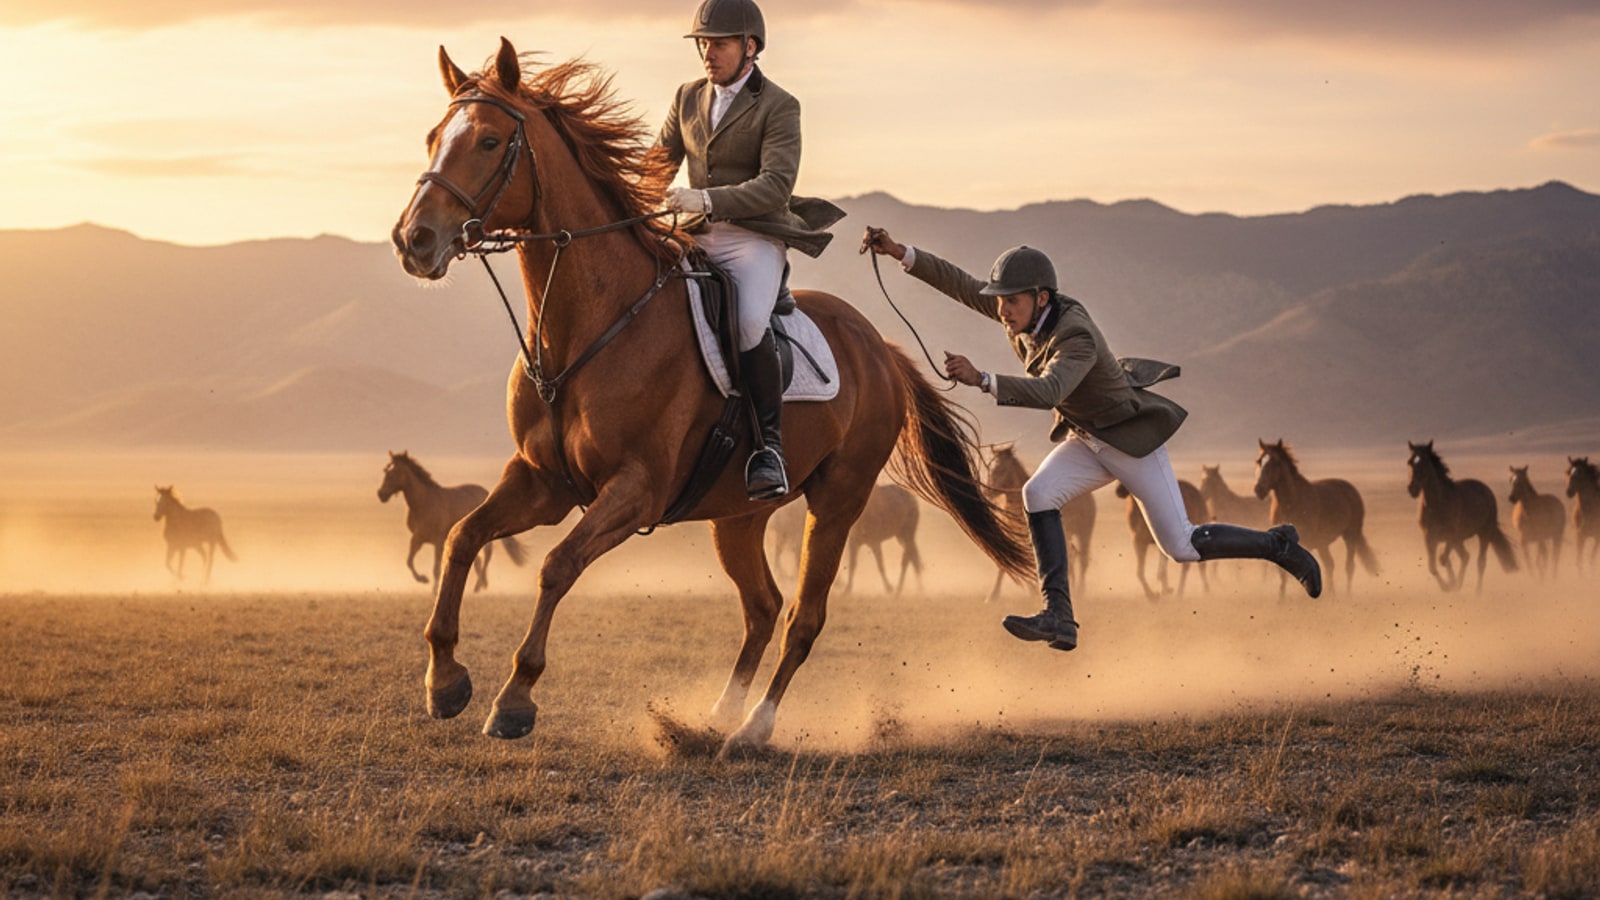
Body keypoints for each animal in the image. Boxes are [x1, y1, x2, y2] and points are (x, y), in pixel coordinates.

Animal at [378, 451, 527, 591]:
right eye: (385, 471)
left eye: (392, 473)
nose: (381, 494)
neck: (423, 504)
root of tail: (486, 493)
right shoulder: (417, 538)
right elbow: (409, 561)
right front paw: (423, 579)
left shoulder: (438, 541)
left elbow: (436, 569)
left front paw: (434, 590)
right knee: (478, 559)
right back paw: (481, 584)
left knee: (486, 557)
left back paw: (479, 585)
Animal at [983, 444, 1095, 602]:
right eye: (990, 468)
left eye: (1001, 469)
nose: (987, 492)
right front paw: (993, 595)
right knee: (1072, 557)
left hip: (1084, 533)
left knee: (1082, 560)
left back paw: (1080, 591)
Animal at [1253, 439, 1380, 597]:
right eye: (1259, 461)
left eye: (1275, 462)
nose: (1258, 490)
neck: (1291, 502)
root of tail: (1351, 489)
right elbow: (1283, 574)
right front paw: (1280, 600)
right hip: (1323, 543)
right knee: (1330, 565)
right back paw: (1331, 595)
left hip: (1350, 535)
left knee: (1349, 566)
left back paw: (1347, 595)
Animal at [1405, 441, 1517, 592]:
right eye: (1409, 462)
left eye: (1425, 462)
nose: (1412, 489)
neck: (1437, 504)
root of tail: (1486, 490)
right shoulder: (1429, 537)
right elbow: (1434, 566)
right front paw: (1449, 585)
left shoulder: (1451, 536)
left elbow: (1443, 559)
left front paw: (1450, 584)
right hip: (1460, 539)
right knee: (1465, 557)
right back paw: (1458, 586)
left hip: (1484, 533)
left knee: (1480, 562)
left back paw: (1477, 592)